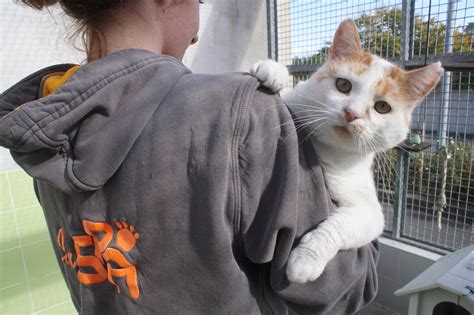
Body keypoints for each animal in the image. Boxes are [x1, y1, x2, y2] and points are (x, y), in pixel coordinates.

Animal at [252, 21, 444, 286]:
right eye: (343, 85)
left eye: (382, 107)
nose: (352, 113)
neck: (328, 149)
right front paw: (272, 70)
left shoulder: (370, 211)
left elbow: (340, 226)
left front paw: (305, 260)